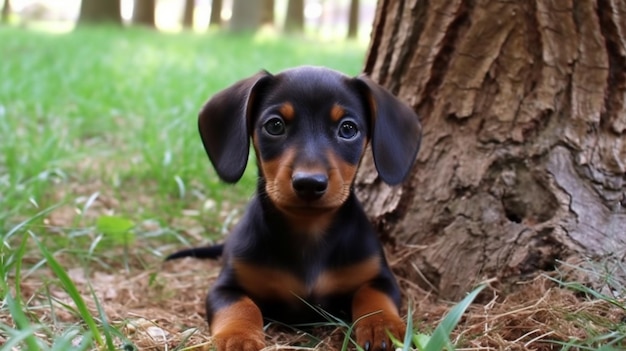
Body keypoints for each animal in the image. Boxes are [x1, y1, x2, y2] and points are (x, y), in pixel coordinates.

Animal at [166, 66, 420, 351]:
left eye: (348, 129)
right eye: (275, 125)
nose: (309, 183)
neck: (308, 233)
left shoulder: (381, 277)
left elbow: (374, 296)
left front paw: (381, 327)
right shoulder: (224, 288)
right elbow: (241, 306)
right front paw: (238, 337)